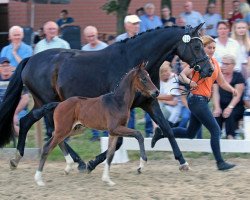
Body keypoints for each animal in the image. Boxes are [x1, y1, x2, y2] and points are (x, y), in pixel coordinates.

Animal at [0, 23, 212, 172]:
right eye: (196, 46)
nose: (209, 69)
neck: (132, 62)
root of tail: (30, 59)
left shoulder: (149, 102)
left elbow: (167, 129)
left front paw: (183, 162)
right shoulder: (119, 109)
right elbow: (118, 141)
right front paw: (93, 163)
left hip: (41, 103)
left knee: (26, 122)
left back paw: (16, 159)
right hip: (49, 102)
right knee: (53, 131)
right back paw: (78, 162)